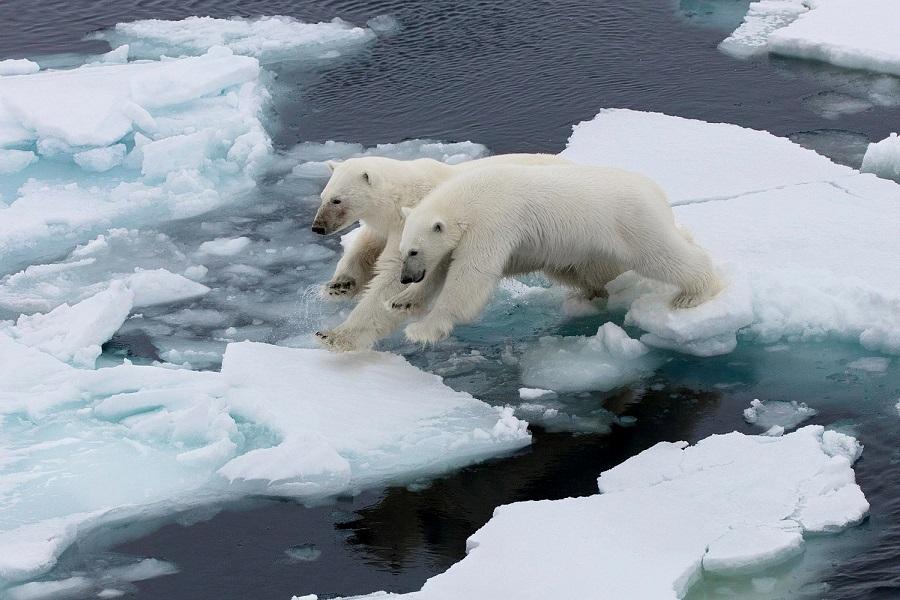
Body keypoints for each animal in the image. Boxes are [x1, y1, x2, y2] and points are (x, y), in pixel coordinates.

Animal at [312, 154, 568, 352]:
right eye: (323, 197)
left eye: (337, 200)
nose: (318, 227)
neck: (403, 195)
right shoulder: (390, 225)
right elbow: (365, 247)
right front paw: (339, 285)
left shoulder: (414, 224)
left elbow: (392, 277)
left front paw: (335, 336)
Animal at [394, 164, 724, 344]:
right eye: (402, 251)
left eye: (414, 250)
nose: (406, 277)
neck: (471, 198)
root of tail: (656, 191)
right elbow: (443, 267)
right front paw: (403, 300)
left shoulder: (494, 221)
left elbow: (471, 275)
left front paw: (422, 329)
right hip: (590, 247)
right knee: (591, 272)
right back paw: (590, 295)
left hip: (630, 221)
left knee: (661, 255)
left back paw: (692, 294)